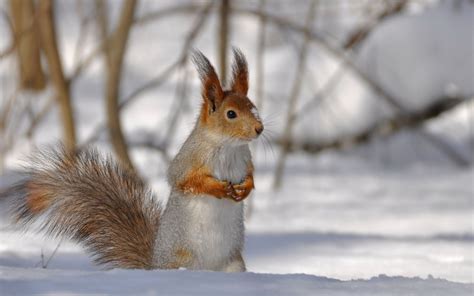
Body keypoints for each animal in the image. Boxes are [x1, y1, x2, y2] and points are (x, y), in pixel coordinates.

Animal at [0, 48, 262, 272]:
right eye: (231, 114)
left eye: (253, 106)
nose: (259, 129)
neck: (228, 146)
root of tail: (154, 265)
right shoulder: (188, 160)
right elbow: (184, 180)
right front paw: (219, 188)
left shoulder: (246, 159)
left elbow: (250, 176)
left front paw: (245, 188)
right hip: (182, 260)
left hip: (234, 264)